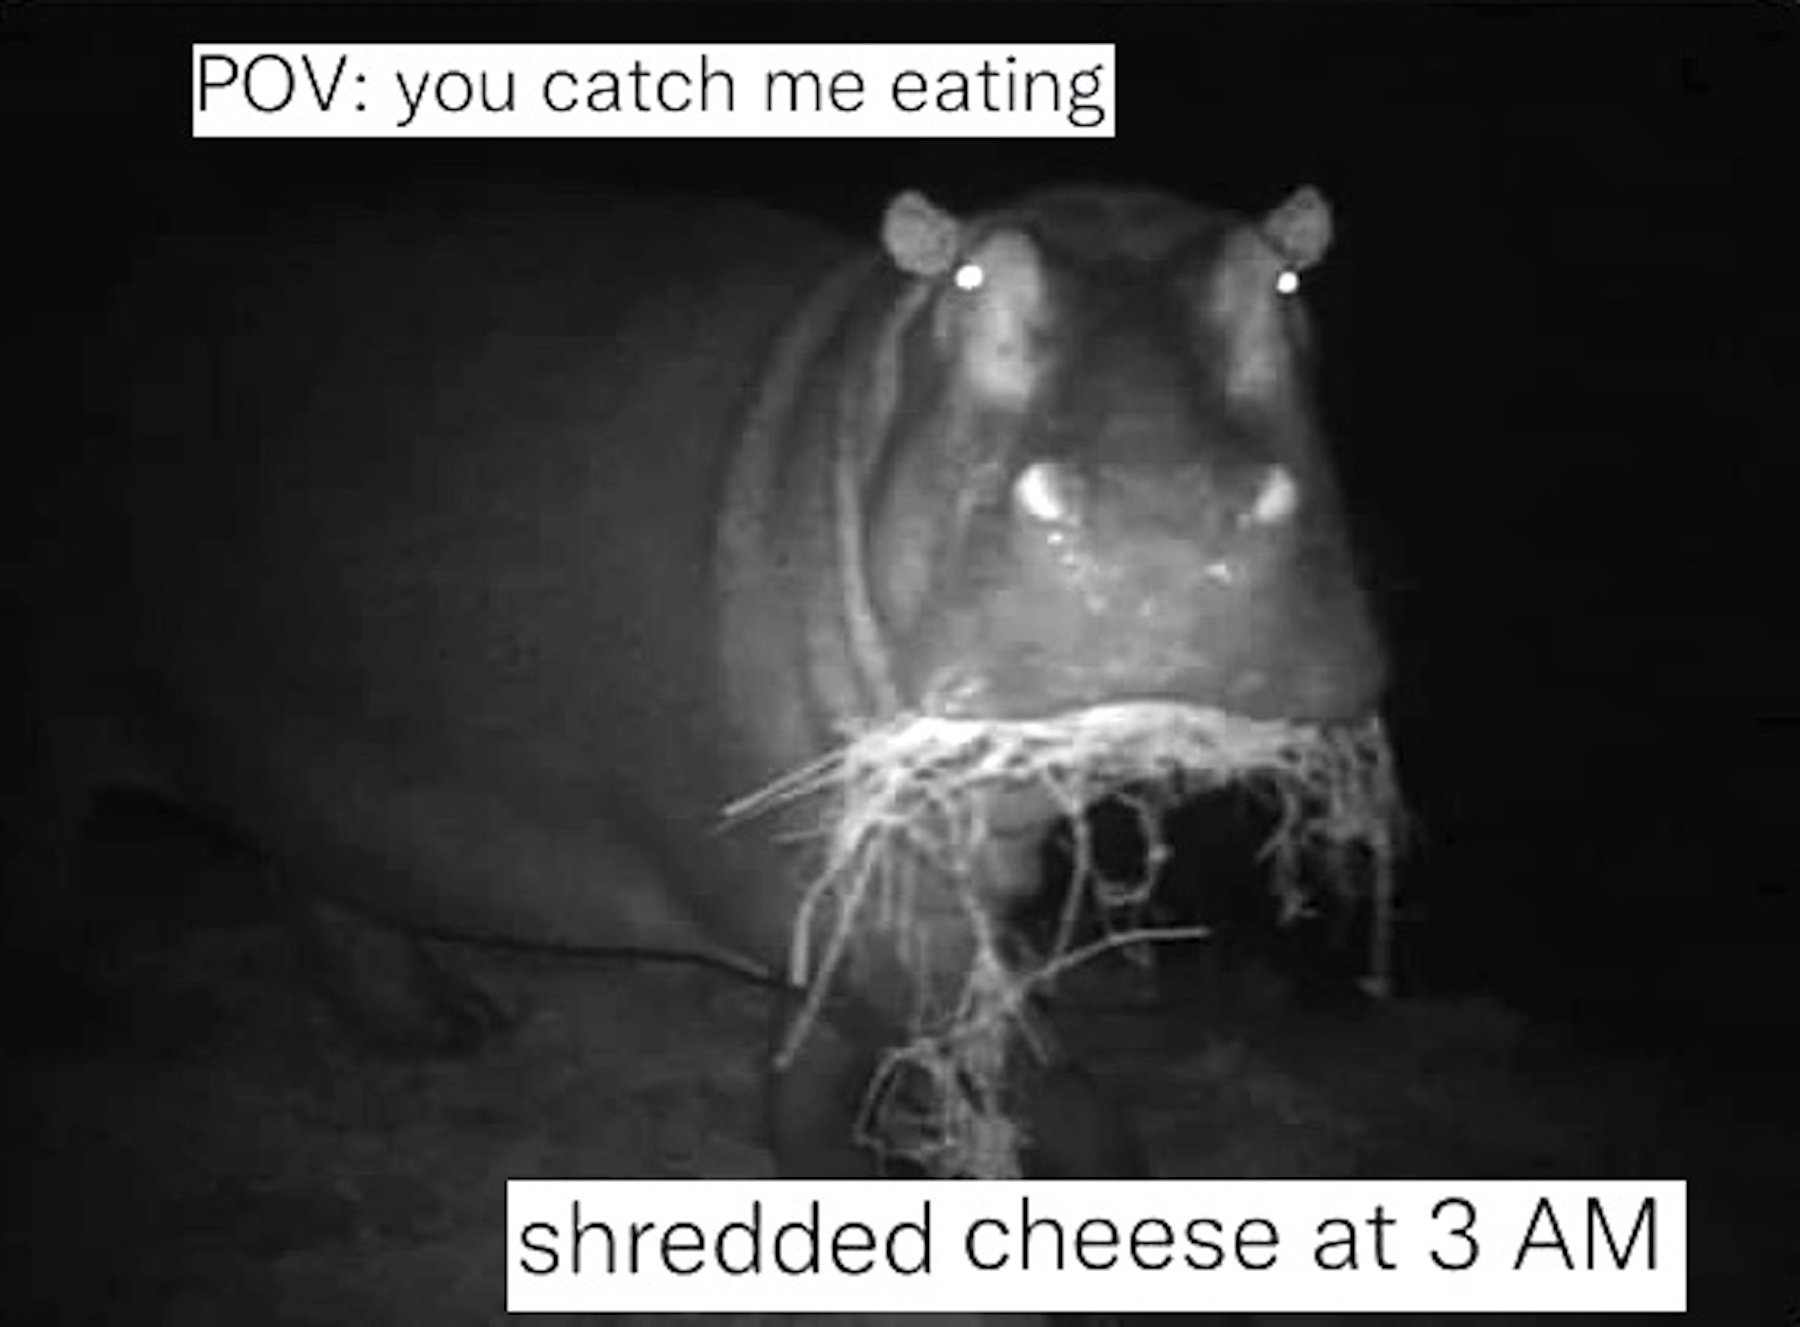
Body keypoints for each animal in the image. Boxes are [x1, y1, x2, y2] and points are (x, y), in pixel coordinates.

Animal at [11, 179, 1395, 1179]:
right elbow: (1033, 1066)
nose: (1163, 520)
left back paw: (448, 1026)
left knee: (317, 878)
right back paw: (90, 1024)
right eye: (969, 279)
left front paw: (829, 1163)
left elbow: (819, 1052)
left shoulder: (901, 876)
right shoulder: (832, 884)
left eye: (1285, 277)